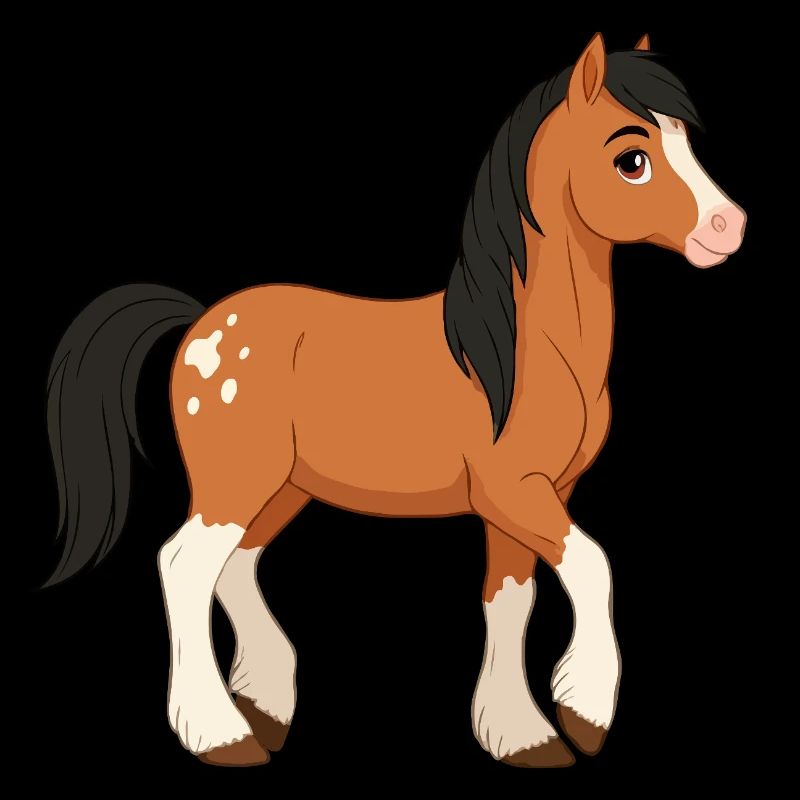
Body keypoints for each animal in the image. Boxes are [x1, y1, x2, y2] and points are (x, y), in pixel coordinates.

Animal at [46, 33, 746, 768]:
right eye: (631, 159)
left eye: (686, 142)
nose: (729, 227)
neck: (526, 349)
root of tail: (201, 322)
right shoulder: (514, 491)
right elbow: (592, 565)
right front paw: (584, 713)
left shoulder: (535, 498)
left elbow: (510, 600)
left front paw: (519, 735)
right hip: (233, 484)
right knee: (185, 566)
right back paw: (221, 734)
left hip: (283, 488)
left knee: (236, 568)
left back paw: (264, 709)